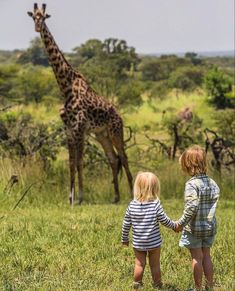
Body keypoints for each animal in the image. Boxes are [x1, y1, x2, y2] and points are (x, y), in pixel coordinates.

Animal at [27, 4, 132, 205]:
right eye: (33, 17)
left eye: (44, 17)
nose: (37, 27)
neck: (65, 87)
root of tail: (119, 115)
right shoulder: (69, 129)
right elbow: (71, 163)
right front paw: (70, 197)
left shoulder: (80, 128)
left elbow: (79, 162)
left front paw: (81, 197)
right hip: (102, 134)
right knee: (113, 159)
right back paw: (115, 197)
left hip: (115, 131)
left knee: (123, 156)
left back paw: (132, 194)